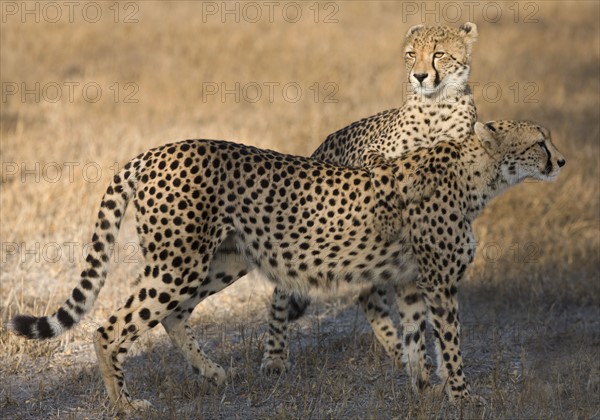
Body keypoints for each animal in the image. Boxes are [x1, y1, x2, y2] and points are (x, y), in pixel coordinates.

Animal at [8, 119, 568, 410]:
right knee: (110, 328)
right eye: (538, 142)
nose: (561, 161)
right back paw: (126, 405)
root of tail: (155, 151)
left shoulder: (411, 283)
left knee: (172, 316)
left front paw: (423, 391)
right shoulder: (438, 284)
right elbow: (449, 344)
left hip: (217, 261)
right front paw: (463, 397)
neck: (478, 177)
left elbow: (413, 340)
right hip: (179, 264)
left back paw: (212, 373)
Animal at [266, 20, 478, 388]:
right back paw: (275, 358)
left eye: (439, 53)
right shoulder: (373, 154)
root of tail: (321, 146)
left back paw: (407, 356)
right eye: (411, 54)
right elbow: (382, 169)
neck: (435, 107)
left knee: (369, 298)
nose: (419, 76)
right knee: (282, 291)